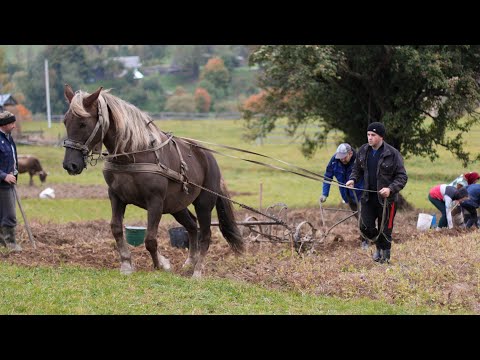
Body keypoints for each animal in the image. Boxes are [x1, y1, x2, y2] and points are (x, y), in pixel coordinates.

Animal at [61, 86, 244, 278]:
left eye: (83, 123)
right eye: (65, 121)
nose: (70, 165)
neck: (133, 154)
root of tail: (208, 157)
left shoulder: (155, 201)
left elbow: (150, 239)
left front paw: (160, 265)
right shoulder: (116, 196)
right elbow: (116, 229)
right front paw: (126, 264)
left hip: (204, 203)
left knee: (206, 235)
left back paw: (197, 271)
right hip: (176, 206)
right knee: (193, 226)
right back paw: (189, 262)